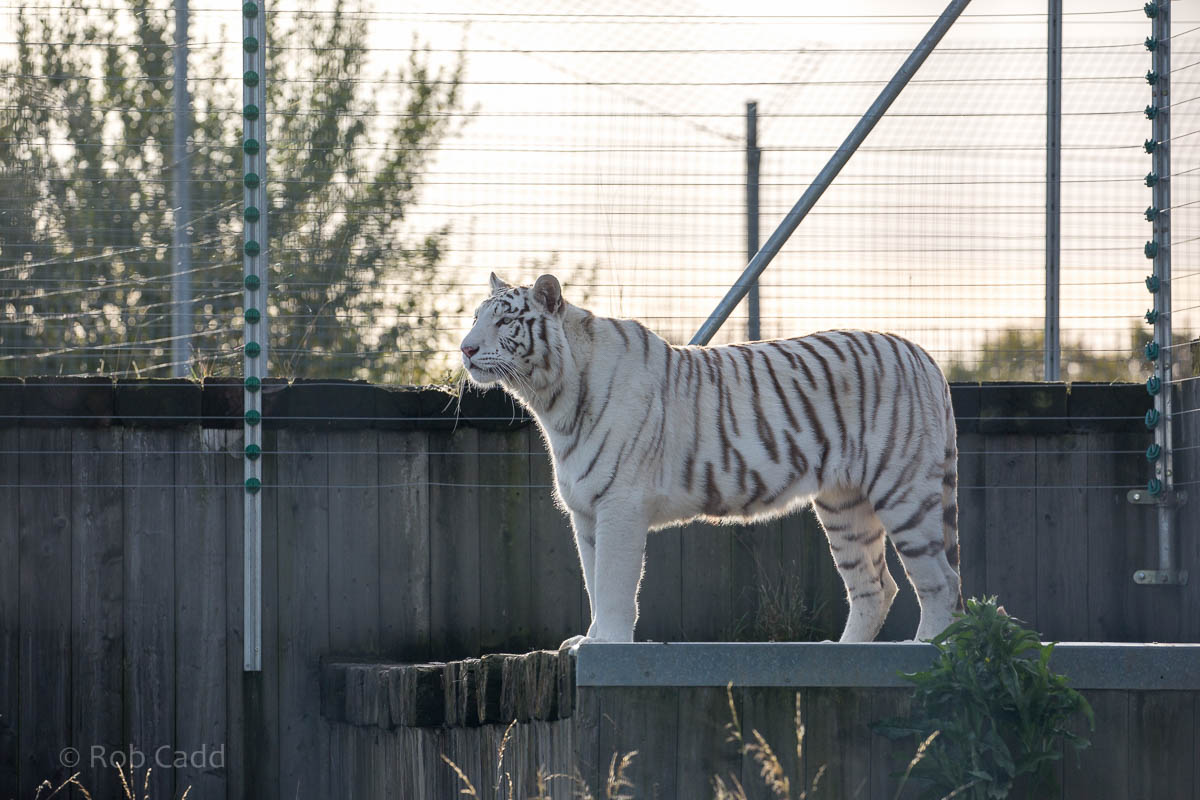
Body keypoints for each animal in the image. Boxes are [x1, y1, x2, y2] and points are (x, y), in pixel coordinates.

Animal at [460, 272, 962, 646]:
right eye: (476, 317)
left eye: (505, 322)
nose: (465, 348)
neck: (550, 400)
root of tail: (924, 355)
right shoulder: (586, 512)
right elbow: (592, 580)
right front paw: (589, 640)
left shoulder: (620, 504)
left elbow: (613, 583)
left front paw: (607, 646)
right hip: (844, 504)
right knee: (875, 586)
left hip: (902, 492)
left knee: (941, 579)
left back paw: (926, 646)